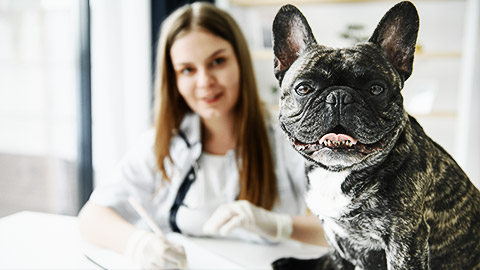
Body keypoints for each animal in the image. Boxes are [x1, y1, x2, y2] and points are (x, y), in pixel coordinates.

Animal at [272, 1, 478, 268]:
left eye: (376, 89)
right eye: (304, 88)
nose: (339, 96)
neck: (337, 174)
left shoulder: (405, 240)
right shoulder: (336, 241)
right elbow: (334, 260)